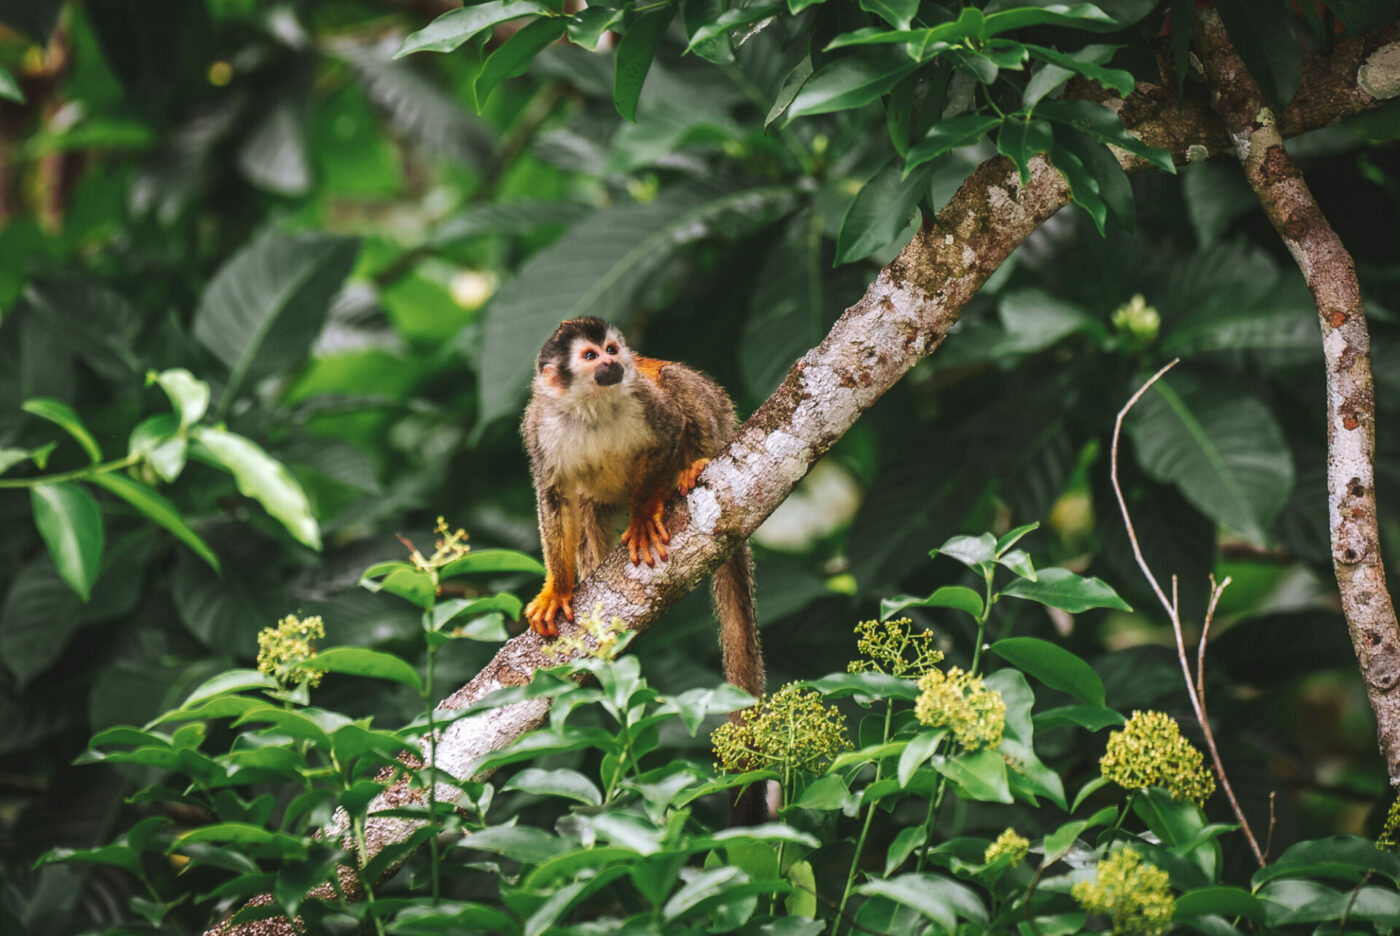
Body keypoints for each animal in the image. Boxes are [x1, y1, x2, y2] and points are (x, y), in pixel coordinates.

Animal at [523, 316, 767, 699]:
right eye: (590, 355)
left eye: (611, 349)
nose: (612, 362)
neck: (591, 405)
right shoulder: (539, 428)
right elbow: (554, 495)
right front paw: (558, 589)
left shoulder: (644, 398)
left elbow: (669, 430)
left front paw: (640, 520)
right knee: (586, 508)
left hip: (720, 415)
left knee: (674, 378)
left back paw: (693, 467)